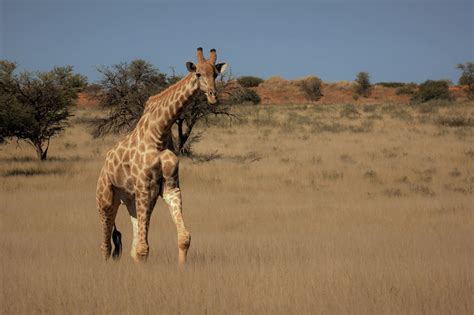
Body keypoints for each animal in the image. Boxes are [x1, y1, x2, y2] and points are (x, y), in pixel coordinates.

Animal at [96, 48, 228, 266]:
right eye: (198, 74)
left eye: (216, 75)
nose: (212, 96)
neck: (159, 132)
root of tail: (105, 164)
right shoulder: (144, 188)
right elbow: (143, 249)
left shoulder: (170, 187)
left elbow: (183, 238)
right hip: (106, 198)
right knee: (105, 246)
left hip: (130, 200)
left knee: (130, 244)